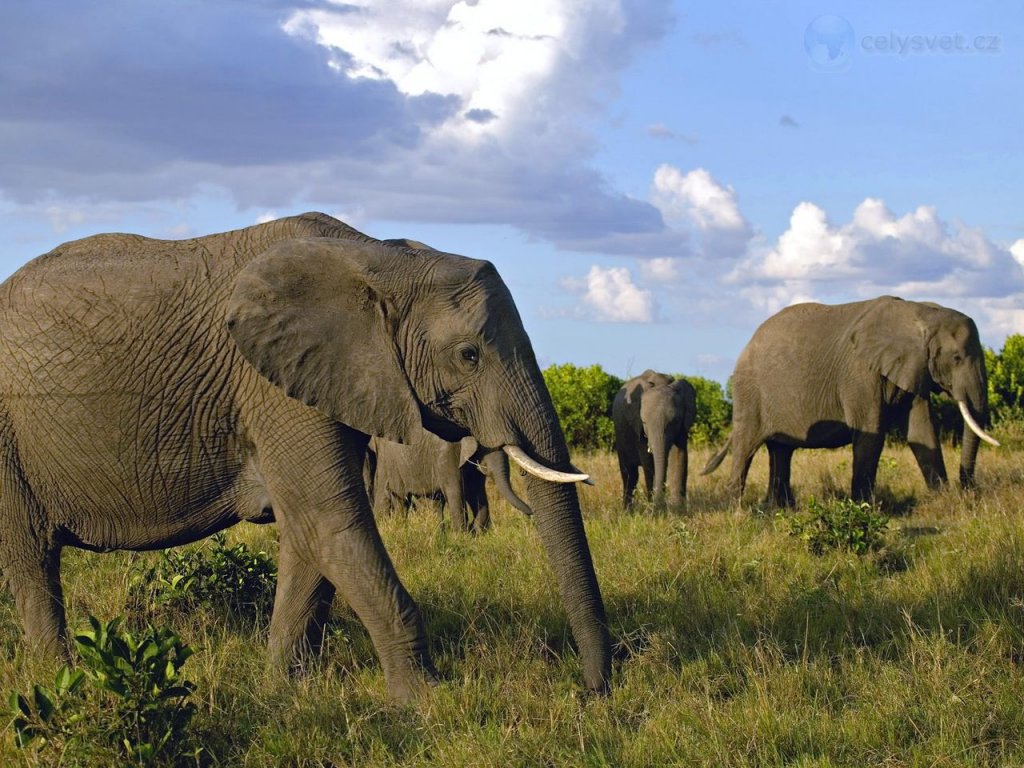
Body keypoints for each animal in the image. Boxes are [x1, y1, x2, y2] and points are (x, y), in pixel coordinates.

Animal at [366, 431, 532, 533]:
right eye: (486, 448)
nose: (531, 514)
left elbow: (476, 493)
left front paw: (477, 532)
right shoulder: (448, 454)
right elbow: (455, 492)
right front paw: (462, 536)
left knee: (433, 503)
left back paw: (438, 533)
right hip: (391, 462)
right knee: (398, 498)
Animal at [612, 370, 697, 510]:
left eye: (675, 421)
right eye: (645, 422)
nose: (660, 504)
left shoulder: (682, 427)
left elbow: (679, 456)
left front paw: (678, 508)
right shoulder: (637, 427)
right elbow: (648, 462)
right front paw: (654, 508)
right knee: (630, 474)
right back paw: (627, 511)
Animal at [703, 296, 999, 507]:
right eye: (956, 358)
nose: (969, 489)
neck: (920, 312)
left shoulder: (913, 369)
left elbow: (921, 432)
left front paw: (943, 500)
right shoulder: (859, 374)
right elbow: (871, 433)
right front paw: (865, 507)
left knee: (781, 450)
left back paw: (780, 508)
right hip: (749, 391)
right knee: (746, 446)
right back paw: (736, 509)